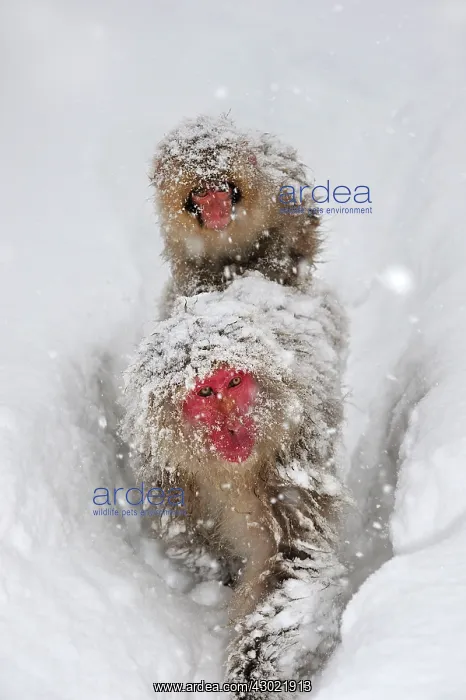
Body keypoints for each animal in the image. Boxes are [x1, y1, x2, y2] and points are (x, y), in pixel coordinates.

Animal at [122, 273, 348, 697]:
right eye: (205, 392)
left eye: (235, 382)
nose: (234, 428)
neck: (229, 474)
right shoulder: (167, 472)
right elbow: (187, 542)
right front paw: (219, 572)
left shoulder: (292, 463)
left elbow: (298, 564)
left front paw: (253, 674)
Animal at [150, 115, 321, 314]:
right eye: (201, 192)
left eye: (221, 190)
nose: (217, 213)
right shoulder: (177, 231)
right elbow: (189, 265)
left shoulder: (276, 191)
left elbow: (297, 226)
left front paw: (273, 268)